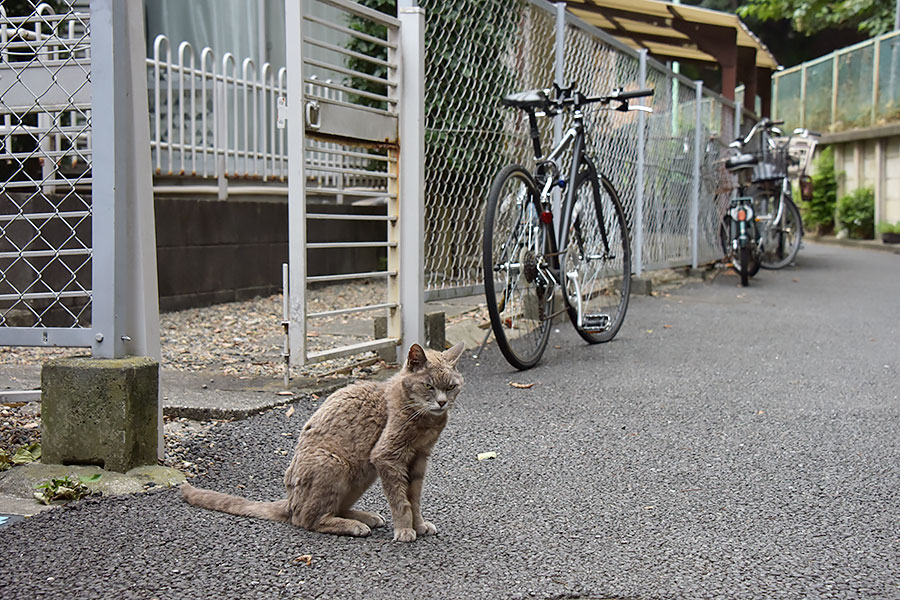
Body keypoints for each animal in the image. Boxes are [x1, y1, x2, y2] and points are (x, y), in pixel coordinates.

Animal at [180, 342, 468, 544]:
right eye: (429, 386)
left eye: (451, 387)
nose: (442, 402)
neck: (424, 421)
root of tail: (289, 499)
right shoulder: (388, 457)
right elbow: (400, 499)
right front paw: (405, 529)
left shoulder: (419, 458)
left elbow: (414, 497)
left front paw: (418, 524)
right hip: (334, 464)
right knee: (307, 519)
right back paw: (355, 526)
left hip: (362, 473)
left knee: (330, 508)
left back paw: (364, 517)